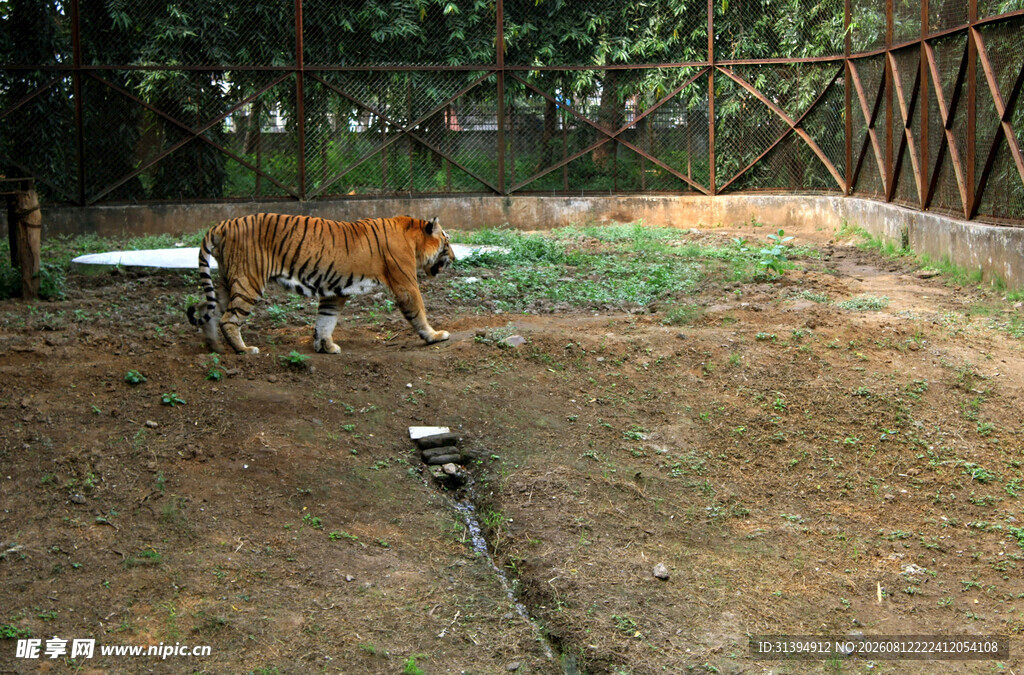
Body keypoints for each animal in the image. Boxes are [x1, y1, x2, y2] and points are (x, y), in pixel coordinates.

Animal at [186, 213, 455, 354]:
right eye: (447, 242)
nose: (454, 258)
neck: (414, 237)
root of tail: (223, 224)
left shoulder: (335, 292)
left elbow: (325, 320)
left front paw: (325, 346)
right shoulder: (405, 284)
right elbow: (418, 311)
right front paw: (434, 336)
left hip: (226, 280)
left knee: (207, 310)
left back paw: (214, 346)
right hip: (248, 281)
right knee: (228, 318)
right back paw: (244, 349)